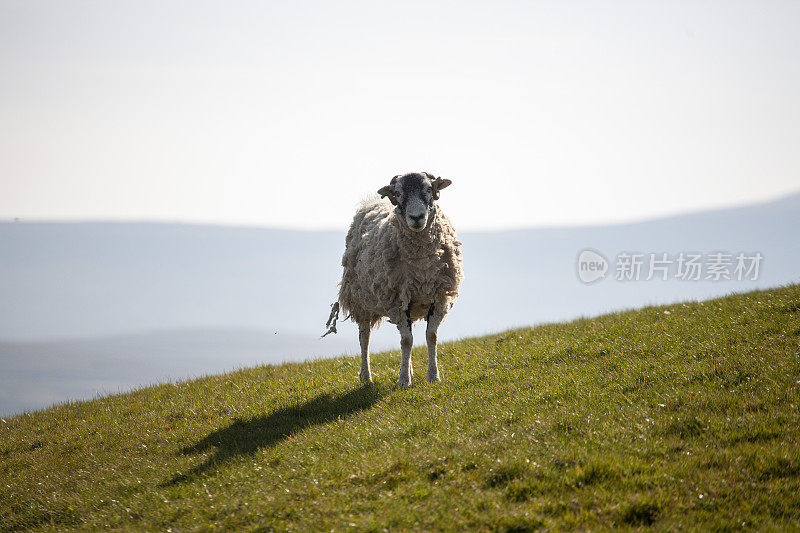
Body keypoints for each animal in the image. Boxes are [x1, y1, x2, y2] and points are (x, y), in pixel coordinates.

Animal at [324, 172, 462, 384]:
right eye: (397, 193)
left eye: (429, 189)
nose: (417, 217)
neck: (421, 265)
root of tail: (371, 202)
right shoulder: (397, 301)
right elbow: (406, 341)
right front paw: (404, 380)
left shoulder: (439, 297)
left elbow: (431, 336)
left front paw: (433, 376)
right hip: (360, 299)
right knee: (364, 337)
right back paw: (366, 376)